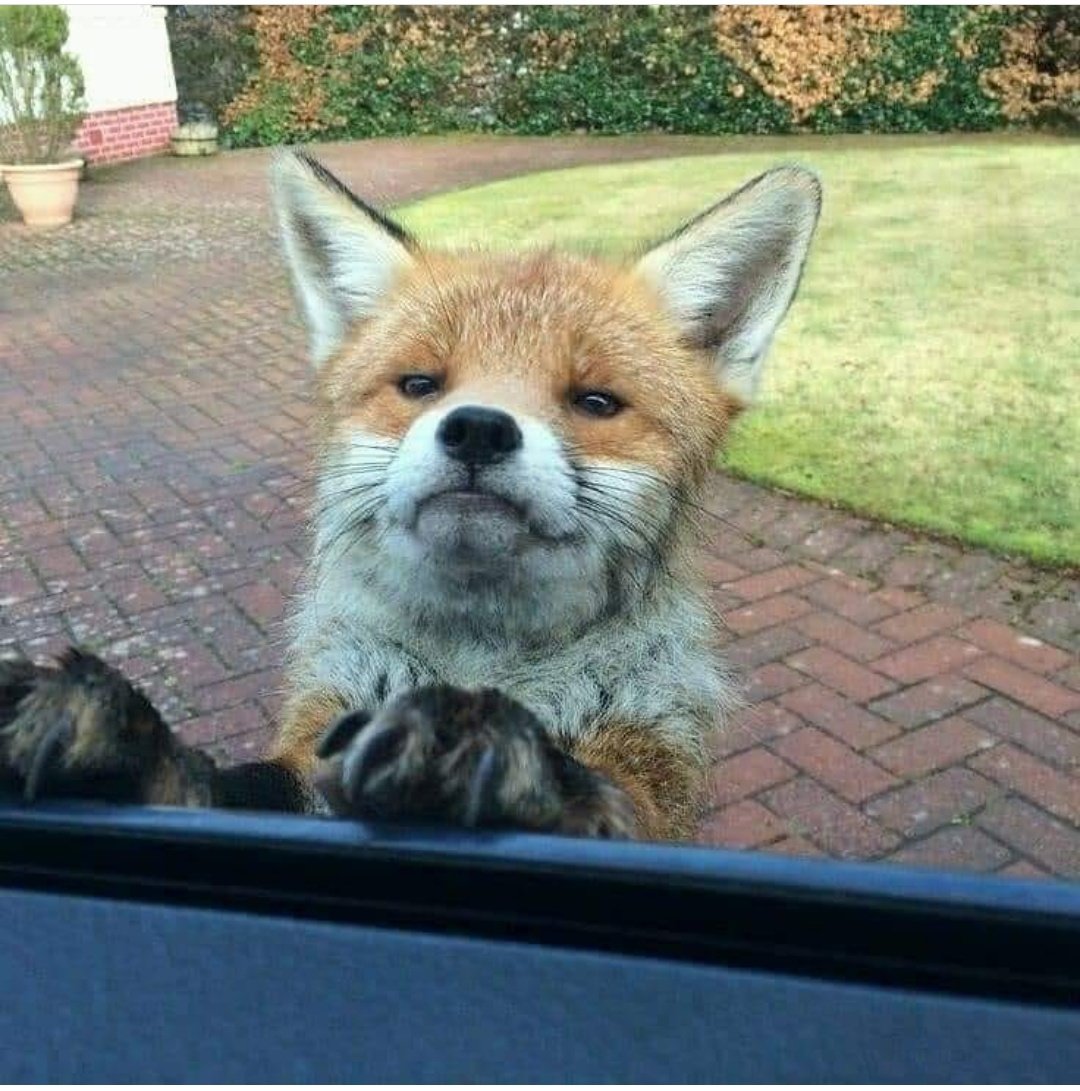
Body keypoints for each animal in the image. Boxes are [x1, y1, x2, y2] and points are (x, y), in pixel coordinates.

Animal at [0, 149, 821, 841]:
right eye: (421, 384)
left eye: (595, 401)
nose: (479, 430)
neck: (483, 663)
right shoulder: (322, 737)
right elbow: (240, 786)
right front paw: (130, 754)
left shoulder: (647, 771)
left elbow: (596, 800)